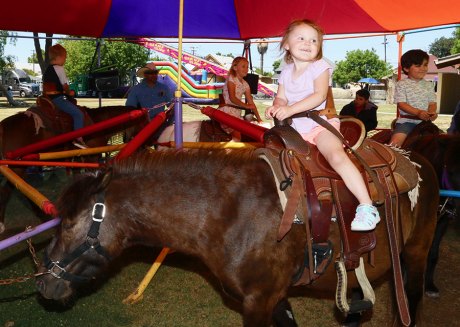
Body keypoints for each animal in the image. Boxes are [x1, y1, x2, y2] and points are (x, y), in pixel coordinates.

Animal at [0, 105, 147, 233]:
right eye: (146, 120)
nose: (149, 144)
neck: (98, 121)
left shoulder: (79, 159)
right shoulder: (91, 158)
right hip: (17, 168)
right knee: (8, 191)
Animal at [36, 150, 438, 326]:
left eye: (69, 224)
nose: (43, 283)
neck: (228, 212)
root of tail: (417, 158)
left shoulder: (258, 302)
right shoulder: (274, 298)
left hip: (416, 254)